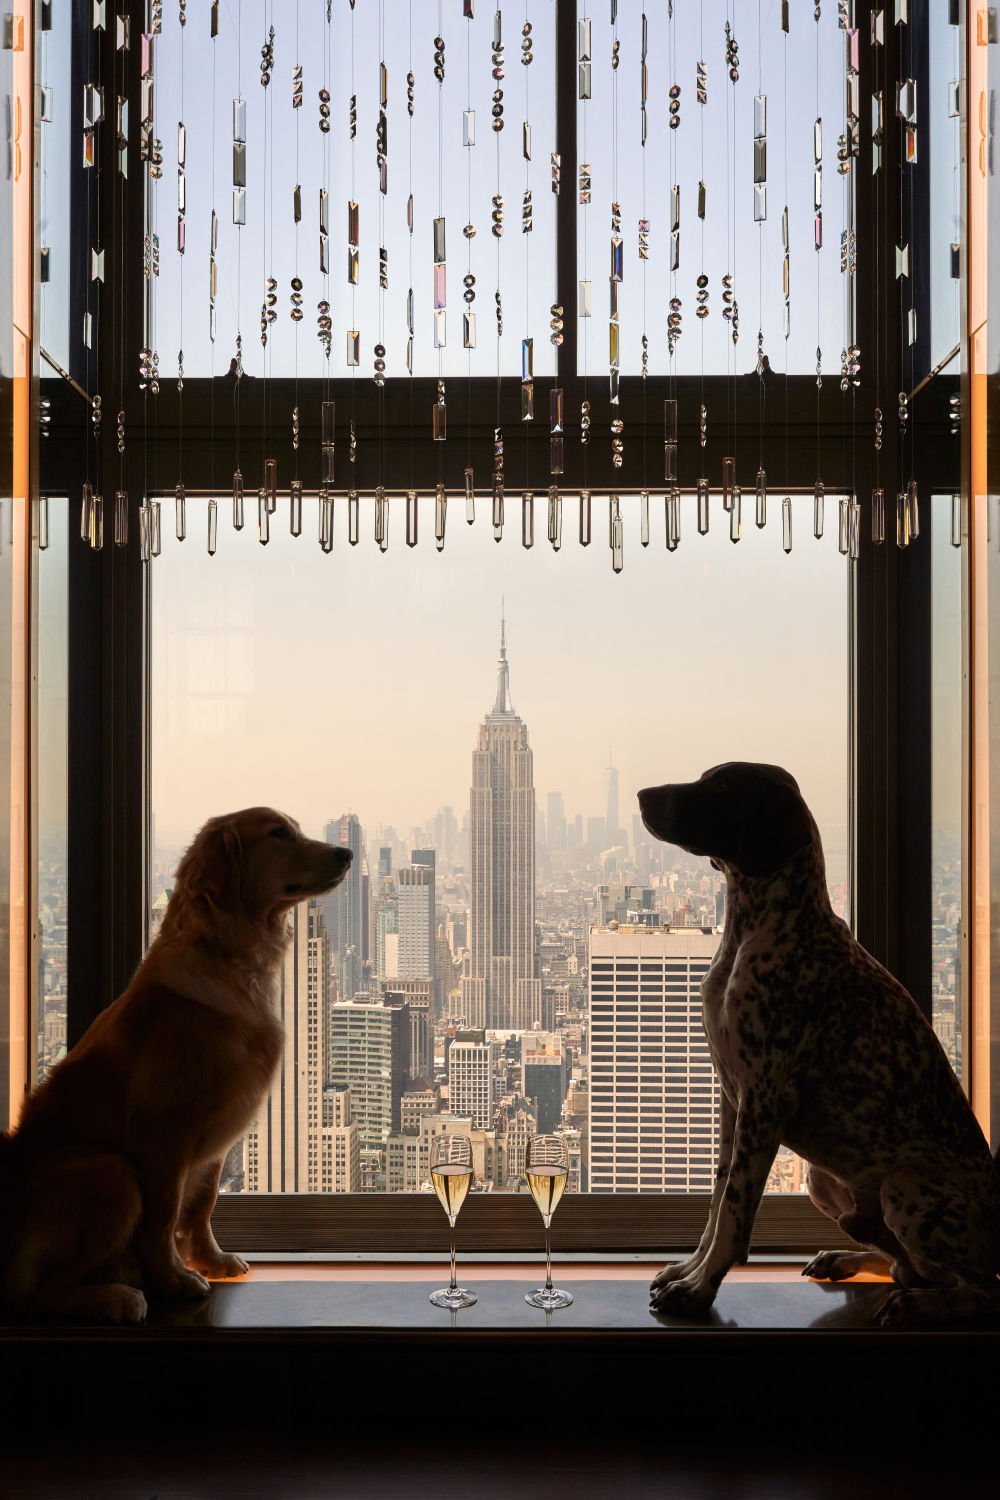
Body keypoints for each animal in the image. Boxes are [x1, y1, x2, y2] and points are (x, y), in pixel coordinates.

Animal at [641, 762, 1000, 1326]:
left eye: (722, 785)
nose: (642, 796)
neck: (750, 930)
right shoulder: (732, 1099)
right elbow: (716, 1203)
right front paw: (689, 1269)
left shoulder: (765, 1098)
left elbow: (735, 1212)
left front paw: (699, 1290)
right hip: (821, 1177)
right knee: (904, 1264)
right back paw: (848, 1257)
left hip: (906, 1183)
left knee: (979, 1289)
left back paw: (917, 1305)